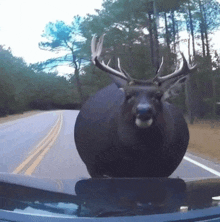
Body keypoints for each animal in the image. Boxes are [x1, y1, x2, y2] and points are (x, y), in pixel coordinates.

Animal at [74, 33, 196, 178]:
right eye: (128, 95)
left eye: (158, 95)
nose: (144, 111)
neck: (138, 157)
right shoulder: (95, 167)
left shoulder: (165, 169)